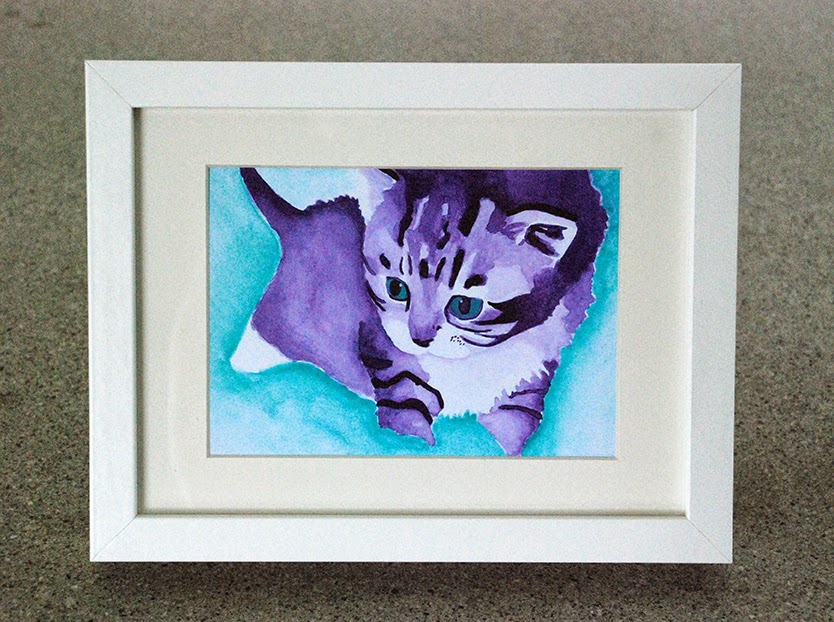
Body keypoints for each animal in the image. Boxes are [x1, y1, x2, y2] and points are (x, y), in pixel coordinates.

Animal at [231, 167, 608, 455]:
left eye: (465, 306)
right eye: (396, 289)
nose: (419, 338)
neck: (476, 361)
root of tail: (302, 219)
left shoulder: (531, 375)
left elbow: (515, 425)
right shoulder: (387, 355)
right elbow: (406, 417)